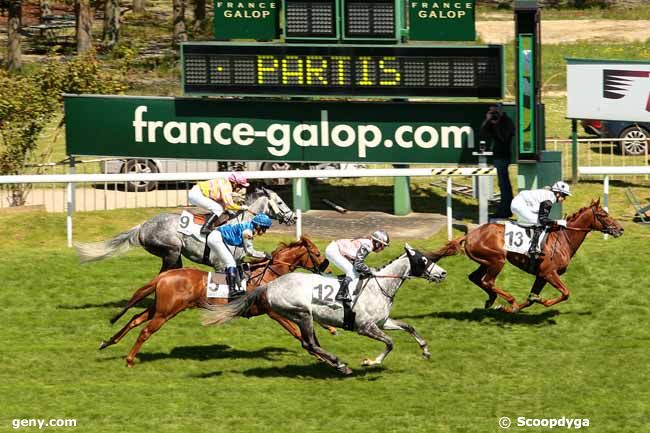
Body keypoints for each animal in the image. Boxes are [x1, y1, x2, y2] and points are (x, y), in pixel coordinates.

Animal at [74, 184, 294, 272]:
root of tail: (142, 226)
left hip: (173, 254)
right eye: (280, 202)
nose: (293, 217)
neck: (237, 224)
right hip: (171, 250)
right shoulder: (220, 264)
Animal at [98, 236, 326, 364]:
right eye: (316, 253)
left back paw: (108, 342)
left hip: (159, 308)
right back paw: (129, 359)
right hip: (166, 312)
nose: (327, 268)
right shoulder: (273, 312)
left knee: (135, 319)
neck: (270, 274)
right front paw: (318, 353)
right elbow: (297, 332)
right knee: (145, 331)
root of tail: (164, 275)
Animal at [201, 243, 446, 374]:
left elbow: (409, 327)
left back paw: (335, 363)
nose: (443, 273)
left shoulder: (382, 322)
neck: (379, 286)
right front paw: (371, 362)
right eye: (423, 261)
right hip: (301, 313)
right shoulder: (365, 327)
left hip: (302, 317)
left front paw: (425, 350)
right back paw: (340, 364)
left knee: (311, 343)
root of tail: (270, 285)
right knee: (309, 343)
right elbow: (390, 343)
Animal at [428, 199, 620, 310]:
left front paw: (524, 305)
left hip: (485, 261)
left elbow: (531, 298)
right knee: (488, 281)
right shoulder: (549, 273)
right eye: (603, 214)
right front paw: (542, 303)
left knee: (475, 278)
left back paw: (492, 300)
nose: (620, 229)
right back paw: (509, 300)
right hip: (497, 260)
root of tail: (469, 235)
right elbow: (566, 293)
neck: (564, 238)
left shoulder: (541, 275)